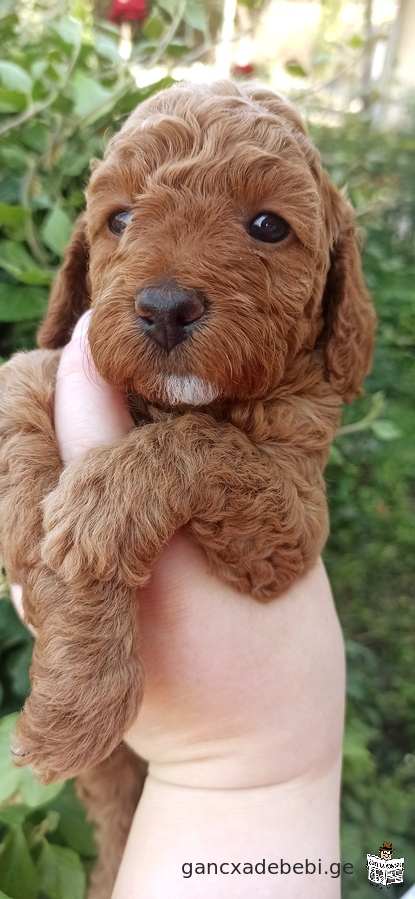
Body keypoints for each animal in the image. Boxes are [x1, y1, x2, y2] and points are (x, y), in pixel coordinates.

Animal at [0, 81, 376, 896]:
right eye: (119, 219)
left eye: (267, 225)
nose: (165, 307)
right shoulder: (53, 354)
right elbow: (21, 398)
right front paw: (33, 550)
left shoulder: (294, 519)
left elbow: (209, 446)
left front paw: (101, 507)